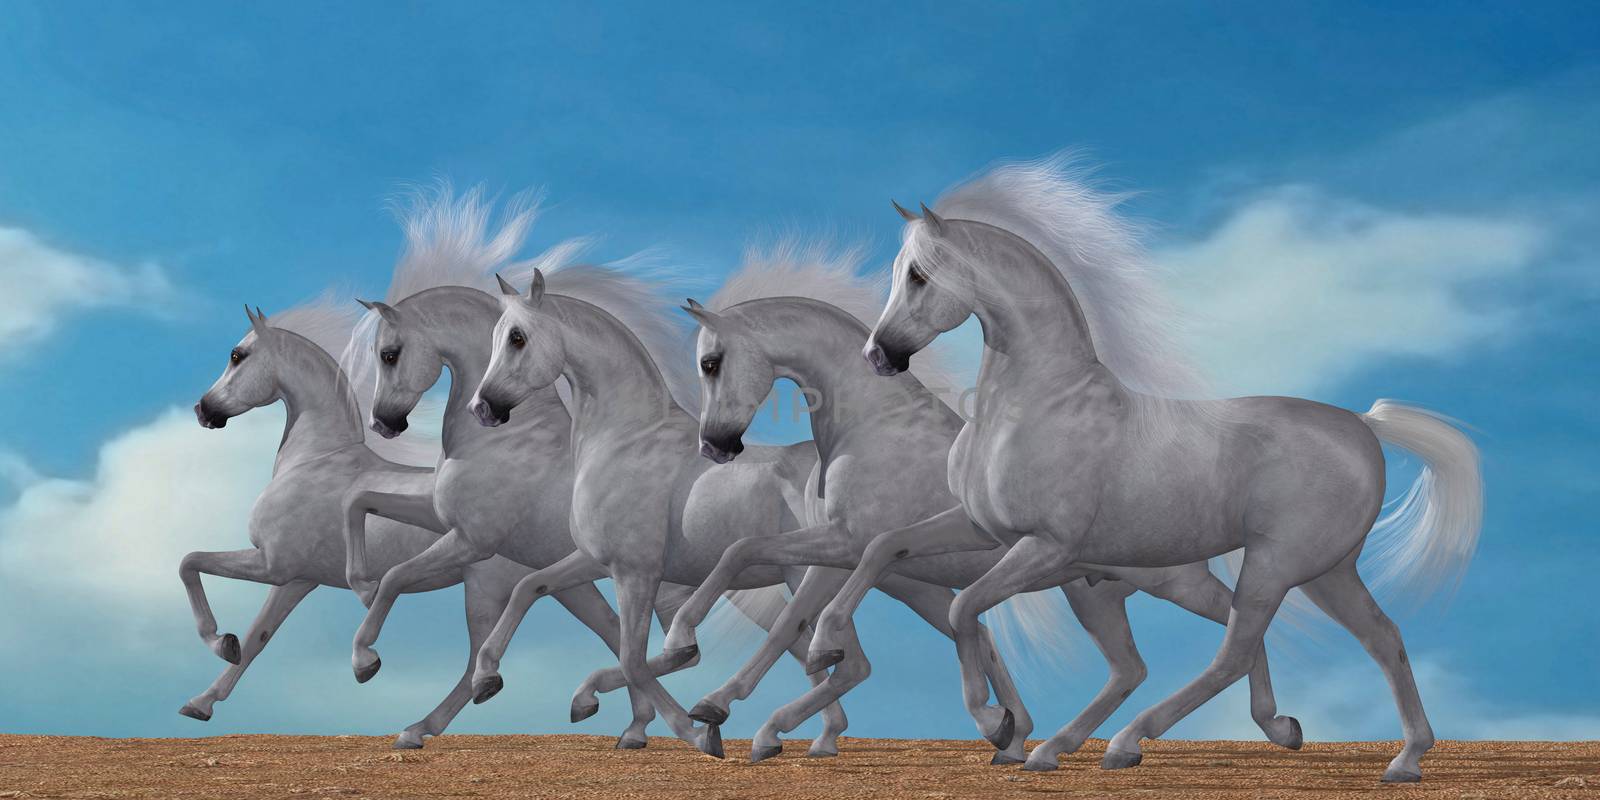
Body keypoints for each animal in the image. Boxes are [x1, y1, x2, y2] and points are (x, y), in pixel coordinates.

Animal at [181, 302, 531, 739]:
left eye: (236, 355)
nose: (203, 410)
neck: (315, 460)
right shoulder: (296, 580)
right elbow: (256, 638)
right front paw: (202, 701)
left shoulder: (272, 565)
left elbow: (190, 562)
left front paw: (218, 641)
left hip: (484, 591)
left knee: (475, 663)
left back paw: (415, 721)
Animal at [656, 244, 1305, 761]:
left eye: (710, 362)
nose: (714, 446)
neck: (875, 426)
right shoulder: (833, 553)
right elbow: (764, 583)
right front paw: (717, 701)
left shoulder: (845, 546)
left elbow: (763, 580)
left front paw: (700, 666)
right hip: (1088, 592)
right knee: (1137, 662)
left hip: (1162, 581)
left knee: (1232, 628)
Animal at [844, 157, 1478, 780]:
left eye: (918, 275)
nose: (877, 357)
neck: (1037, 403)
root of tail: (1362, 425)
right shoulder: (983, 529)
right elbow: (886, 547)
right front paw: (833, 643)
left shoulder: (1044, 546)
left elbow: (962, 607)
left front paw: (995, 724)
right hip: (1320, 572)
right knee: (1378, 637)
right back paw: (1393, 756)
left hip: (1275, 565)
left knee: (1231, 653)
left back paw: (1125, 743)